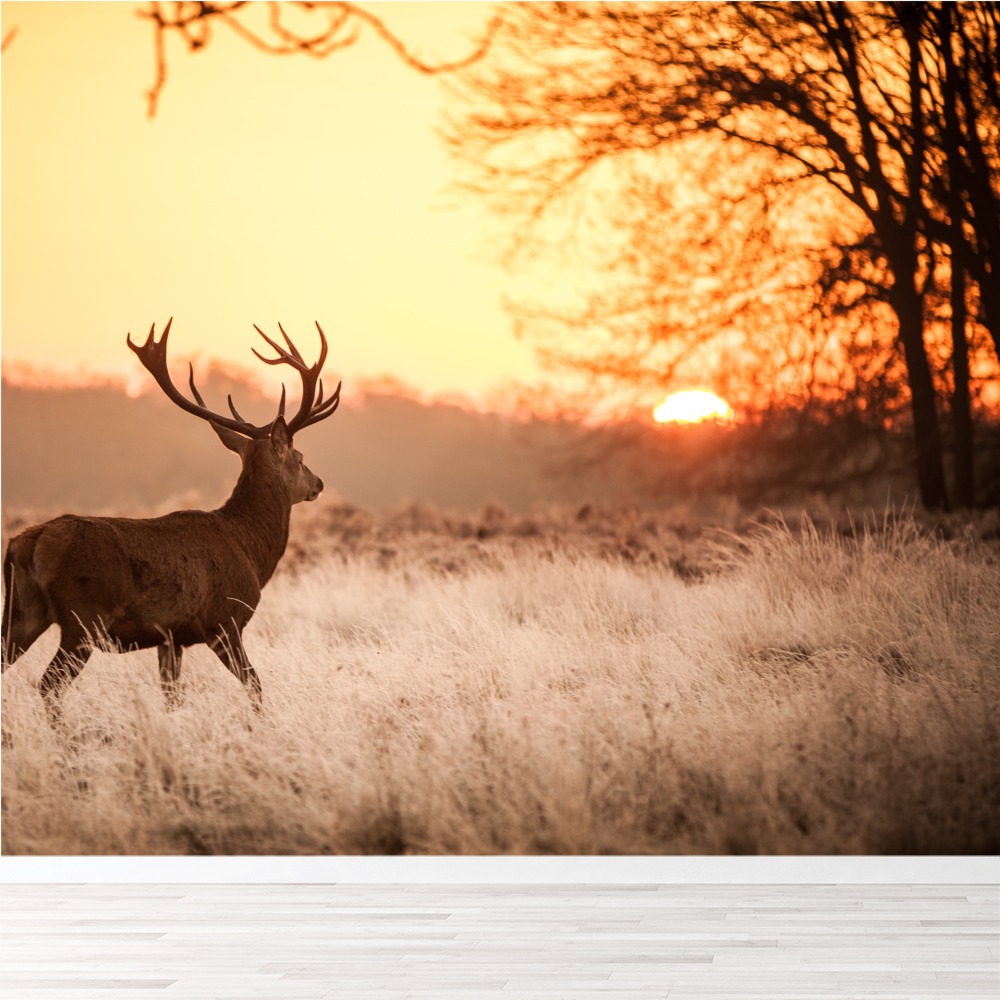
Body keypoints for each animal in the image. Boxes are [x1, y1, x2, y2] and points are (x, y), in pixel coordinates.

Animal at [1, 319, 340, 718]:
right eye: (300, 457)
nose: (319, 483)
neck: (250, 549)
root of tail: (27, 542)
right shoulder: (223, 621)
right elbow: (255, 685)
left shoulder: (170, 637)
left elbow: (172, 696)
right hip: (83, 617)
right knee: (50, 685)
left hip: (22, 611)